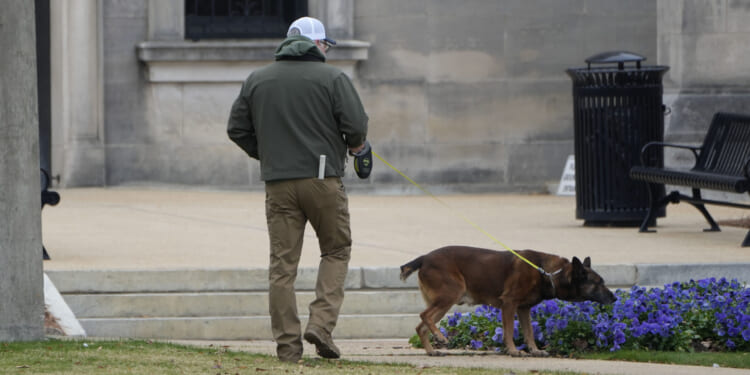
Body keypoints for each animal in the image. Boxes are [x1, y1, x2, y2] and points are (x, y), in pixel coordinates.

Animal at [402, 247, 620, 358]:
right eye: (598, 283)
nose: (615, 298)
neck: (547, 273)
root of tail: (424, 258)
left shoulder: (523, 309)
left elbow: (529, 332)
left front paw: (534, 350)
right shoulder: (509, 304)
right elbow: (509, 331)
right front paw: (514, 351)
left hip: (445, 301)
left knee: (421, 326)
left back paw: (432, 350)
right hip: (450, 295)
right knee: (424, 316)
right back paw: (440, 337)